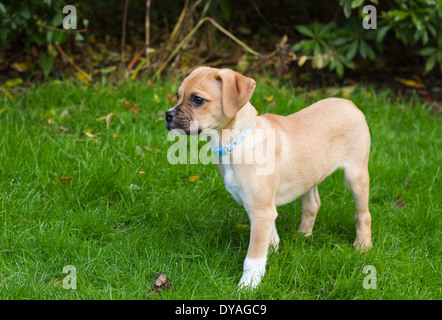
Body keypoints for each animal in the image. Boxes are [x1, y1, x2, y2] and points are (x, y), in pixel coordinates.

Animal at [164, 66, 372, 288]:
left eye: (197, 100)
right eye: (178, 95)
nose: (167, 116)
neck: (235, 143)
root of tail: (350, 104)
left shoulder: (261, 210)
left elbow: (253, 255)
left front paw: (248, 285)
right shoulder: (260, 207)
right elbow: (269, 236)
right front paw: (272, 252)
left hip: (356, 174)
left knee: (363, 214)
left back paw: (363, 246)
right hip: (309, 176)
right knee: (313, 204)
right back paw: (303, 235)